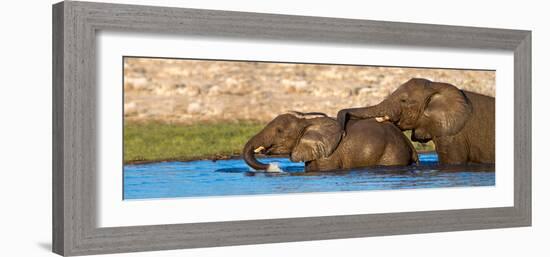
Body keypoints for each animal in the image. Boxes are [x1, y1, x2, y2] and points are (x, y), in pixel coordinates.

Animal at [243, 109, 418, 170]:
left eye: (279, 131)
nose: (273, 166)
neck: (306, 121)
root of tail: (411, 146)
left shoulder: (329, 156)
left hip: (392, 153)